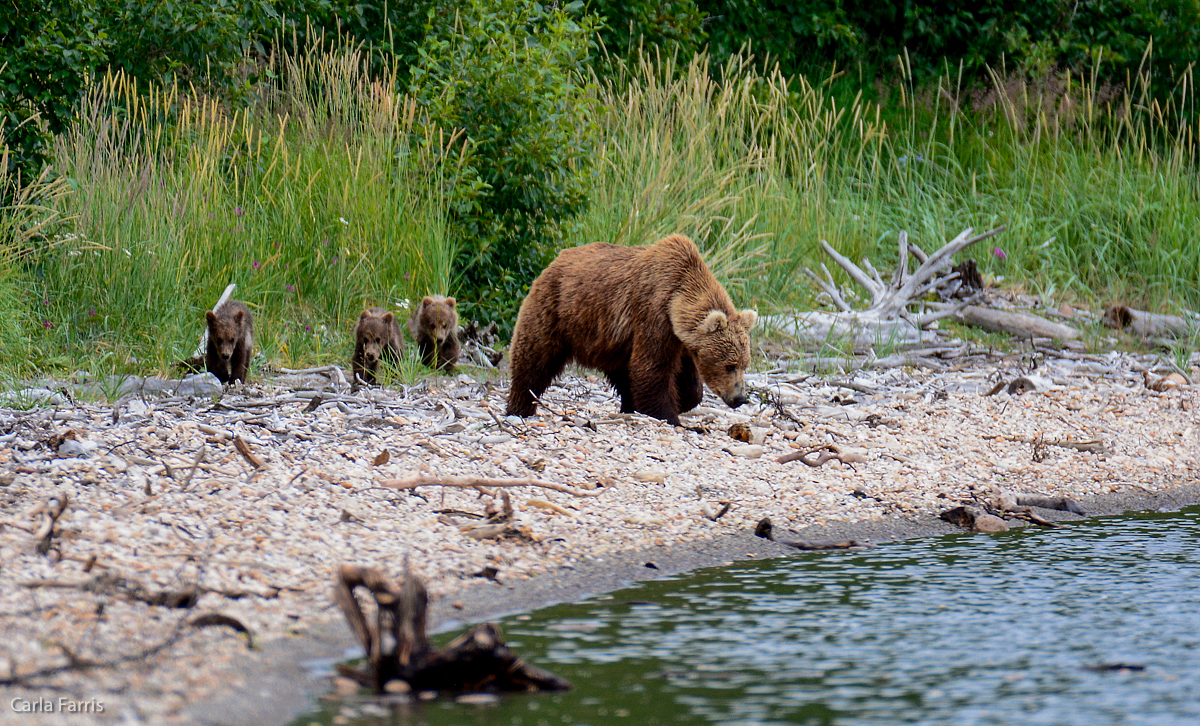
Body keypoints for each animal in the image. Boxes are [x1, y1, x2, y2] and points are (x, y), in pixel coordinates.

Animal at [508, 231, 758, 424]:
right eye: (729, 365)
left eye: (745, 365)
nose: (740, 398)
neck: (677, 299)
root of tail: (556, 259)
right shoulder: (654, 315)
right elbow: (652, 368)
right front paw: (668, 414)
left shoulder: (683, 341)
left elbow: (687, 382)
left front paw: (682, 401)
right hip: (556, 310)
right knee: (534, 358)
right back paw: (519, 406)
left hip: (609, 339)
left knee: (622, 372)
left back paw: (628, 406)